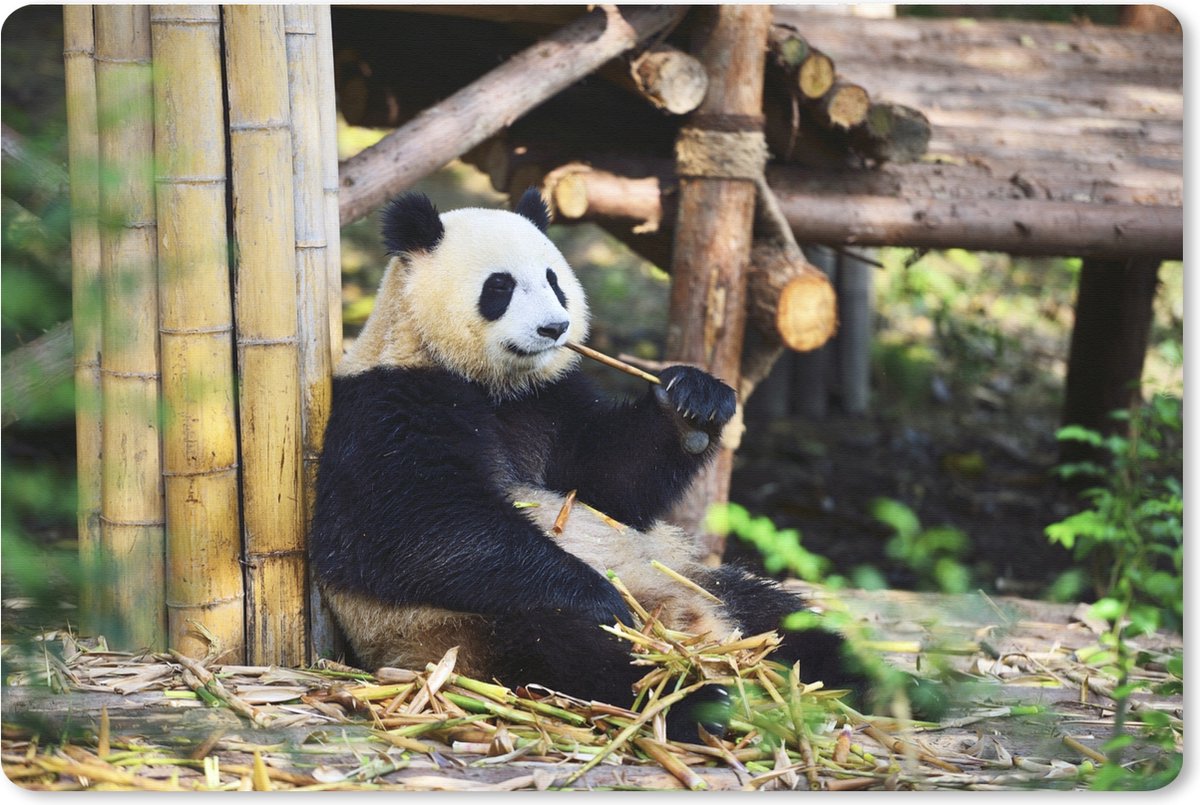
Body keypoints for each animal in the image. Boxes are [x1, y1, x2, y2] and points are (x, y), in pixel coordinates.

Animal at [310, 189, 863, 738]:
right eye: (500, 286)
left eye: (554, 280)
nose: (555, 327)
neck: (488, 382)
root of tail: (698, 624)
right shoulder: (388, 407)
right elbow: (420, 526)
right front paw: (599, 596)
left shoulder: (549, 402)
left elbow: (612, 483)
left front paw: (695, 401)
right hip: (462, 629)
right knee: (571, 651)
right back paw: (694, 698)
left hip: (688, 575)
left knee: (778, 616)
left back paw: (860, 678)